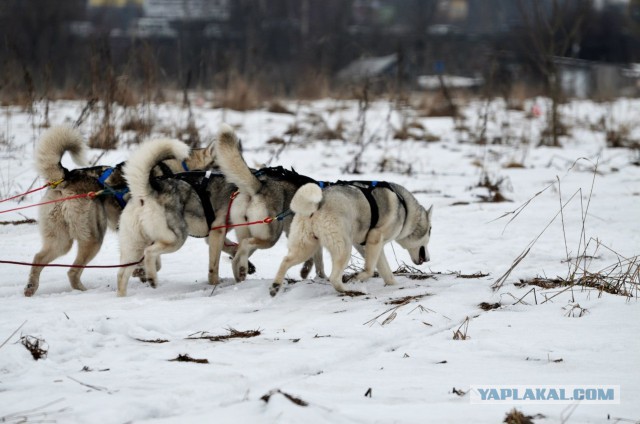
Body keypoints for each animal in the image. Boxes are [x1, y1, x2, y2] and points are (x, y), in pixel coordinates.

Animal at [24, 127, 218, 296]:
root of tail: (65, 177)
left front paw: (142, 272)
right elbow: (154, 262)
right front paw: (142, 273)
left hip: (61, 242)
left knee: (38, 259)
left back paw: (31, 288)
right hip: (93, 239)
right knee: (72, 272)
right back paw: (84, 291)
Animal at [216, 123, 324, 282]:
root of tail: (260, 187)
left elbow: (317, 260)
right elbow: (315, 260)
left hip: (250, 231)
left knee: (237, 254)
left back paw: (240, 274)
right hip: (271, 237)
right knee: (244, 245)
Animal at [272, 180, 432, 294]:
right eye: (430, 230)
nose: (428, 259)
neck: (405, 209)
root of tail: (316, 205)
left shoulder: (369, 245)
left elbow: (385, 270)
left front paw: (392, 284)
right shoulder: (375, 238)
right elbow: (369, 269)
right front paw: (357, 277)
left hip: (306, 247)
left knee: (285, 261)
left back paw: (275, 286)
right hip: (344, 248)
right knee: (334, 278)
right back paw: (349, 290)